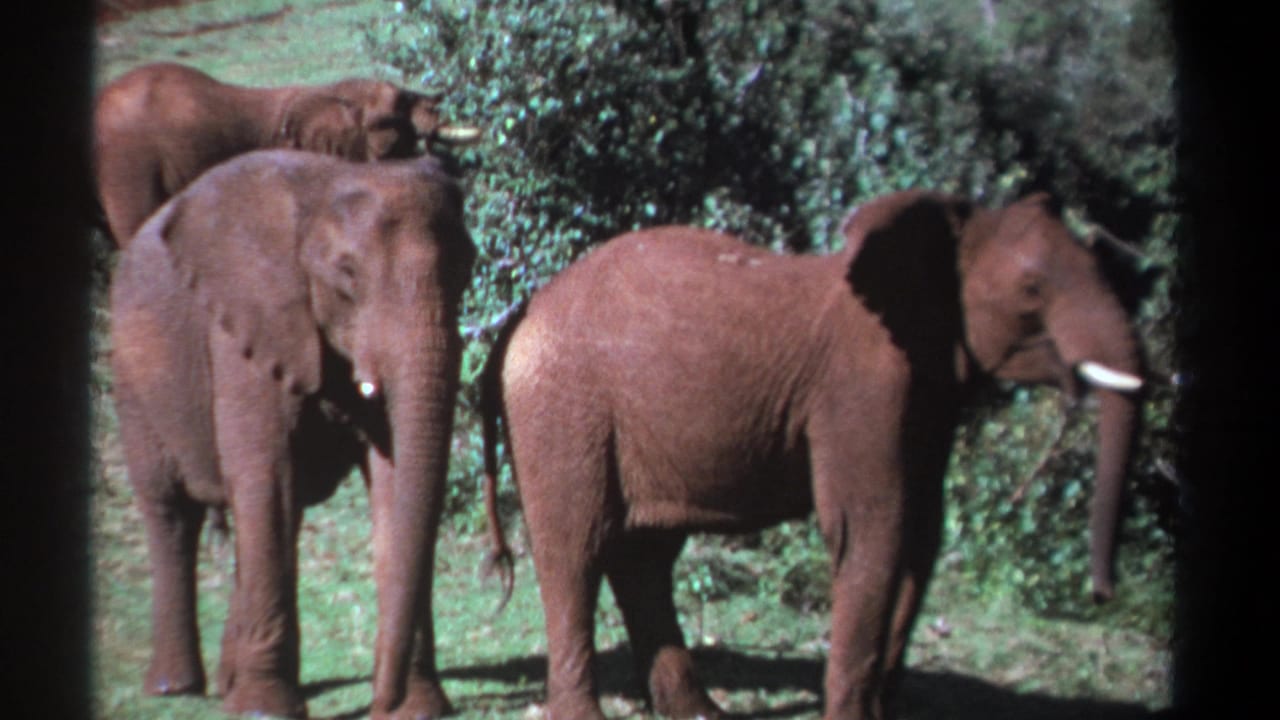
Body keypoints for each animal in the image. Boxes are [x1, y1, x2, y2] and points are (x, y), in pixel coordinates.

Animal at [110, 148, 475, 719]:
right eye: (347, 274)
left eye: (467, 270)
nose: (380, 704)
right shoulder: (246, 327)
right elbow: (267, 476)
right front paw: (264, 710)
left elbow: (392, 485)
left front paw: (419, 708)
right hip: (133, 378)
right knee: (172, 512)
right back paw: (177, 688)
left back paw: (227, 684)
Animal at [477, 191, 1144, 720]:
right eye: (1033, 289)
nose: (1103, 595)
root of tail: (521, 315)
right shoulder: (861, 391)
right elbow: (872, 531)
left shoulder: (926, 398)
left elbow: (919, 537)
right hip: (564, 409)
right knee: (576, 550)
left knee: (645, 558)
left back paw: (702, 713)